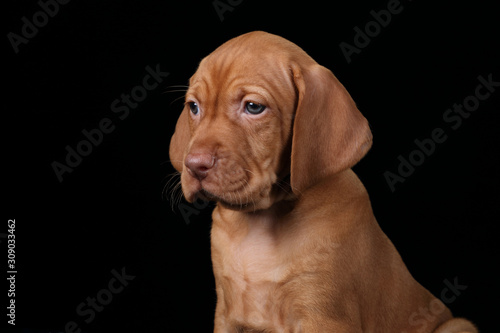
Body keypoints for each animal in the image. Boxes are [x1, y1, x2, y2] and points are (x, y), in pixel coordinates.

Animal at [170, 31, 478, 332]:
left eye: (254, 107)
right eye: (194, 107)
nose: (194, 165)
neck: (261, 222)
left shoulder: (325, 317)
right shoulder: (226, 315)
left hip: (457, 325)